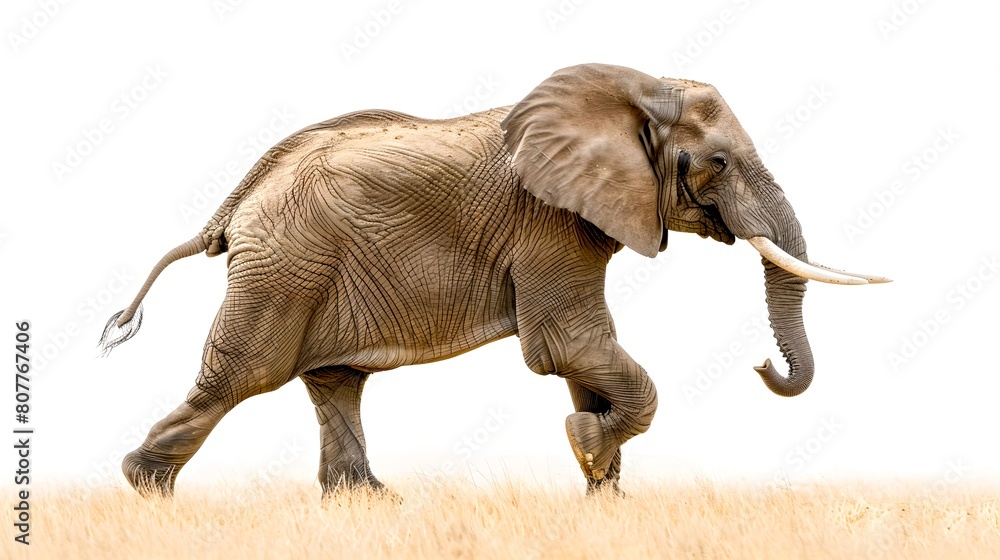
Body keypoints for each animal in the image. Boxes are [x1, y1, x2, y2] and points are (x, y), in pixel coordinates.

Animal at [100, 63, 887, 497]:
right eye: (718, 162)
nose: (760, 364)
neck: (632, 94)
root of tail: (237, 200)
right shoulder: (548, 224)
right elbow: (566, 347)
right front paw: (587, 445)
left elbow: (587, 360)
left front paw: (602, 490)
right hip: (284, 265)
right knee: (243, 374)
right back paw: (146, 489)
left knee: (335, 382)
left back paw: (369, 504)